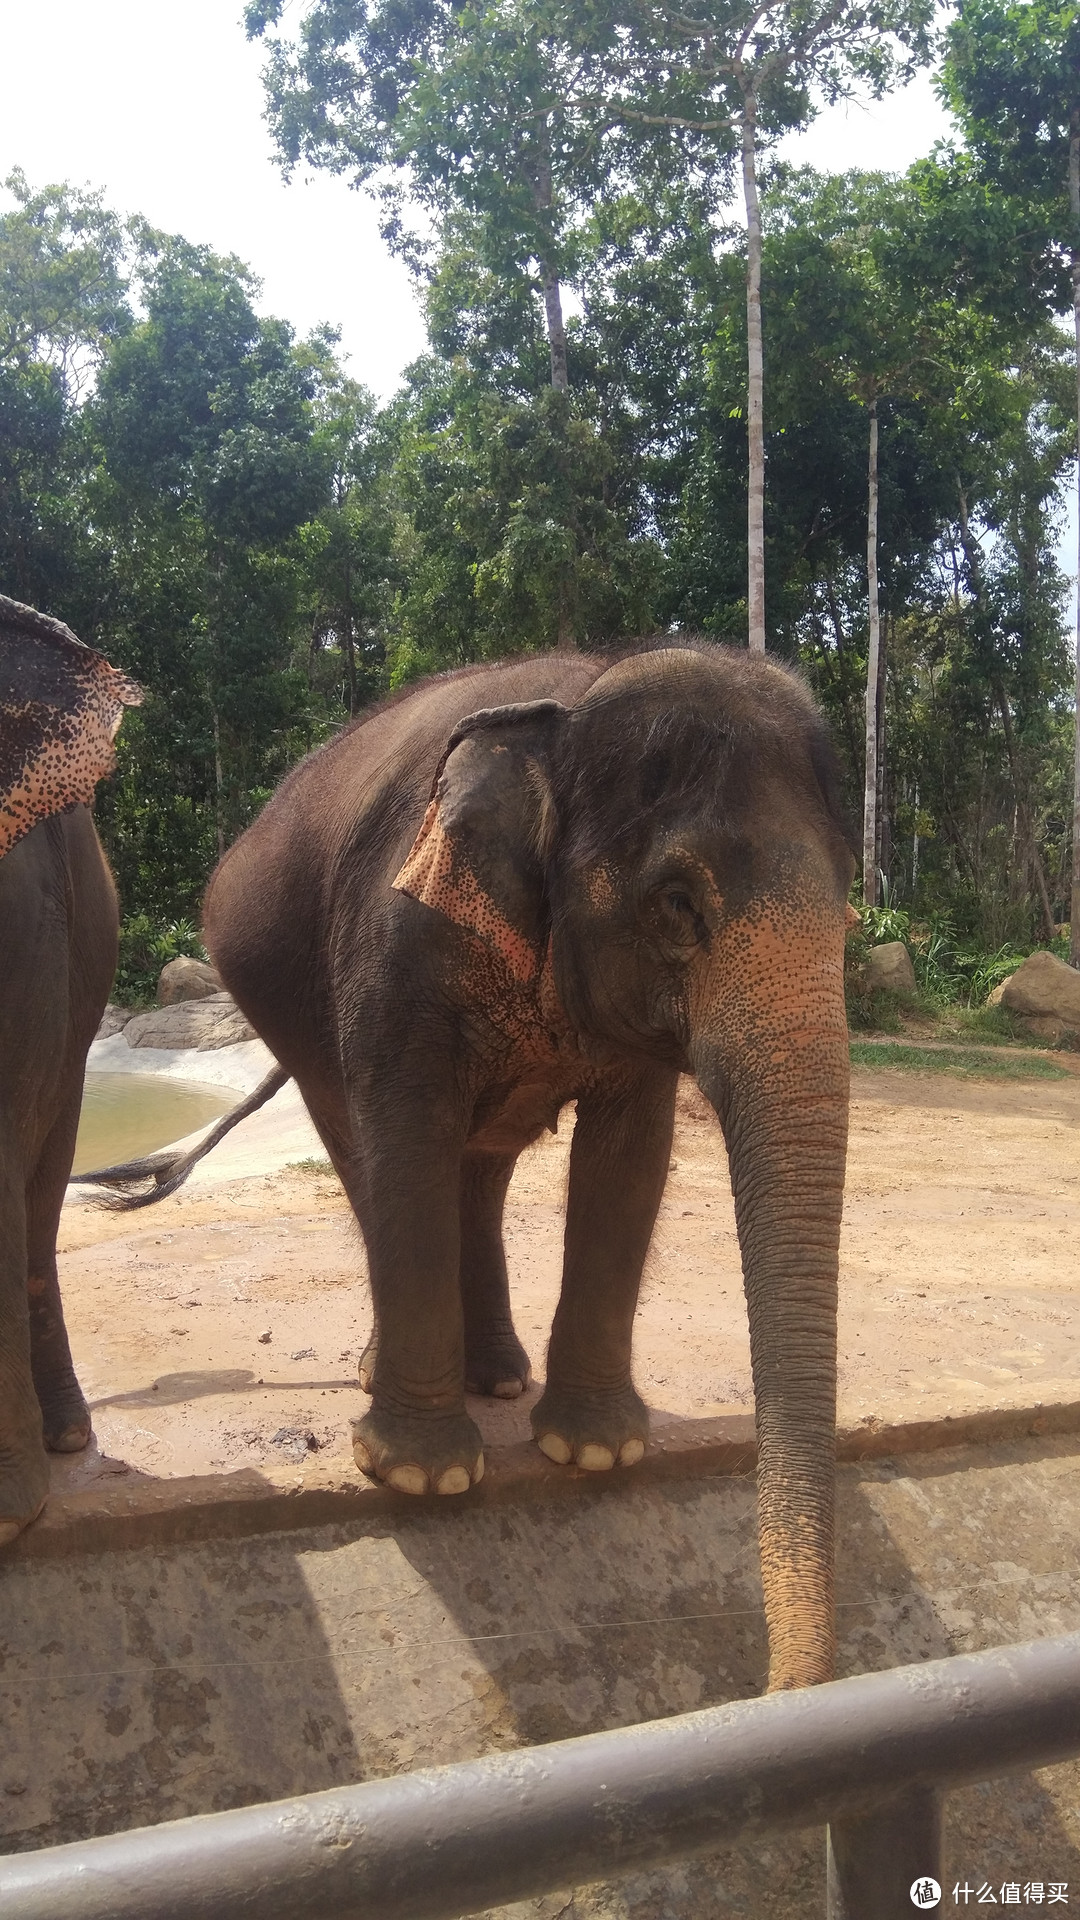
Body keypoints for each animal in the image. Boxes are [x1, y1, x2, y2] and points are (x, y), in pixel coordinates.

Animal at [197, 637, 853, 1689]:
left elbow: (629, 1157)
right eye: (678, 904)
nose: (782, 1685)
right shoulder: (399, 942)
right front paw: (424, 1475)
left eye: (850, 905)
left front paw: (595, 1455)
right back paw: (406, 1377)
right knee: (370, 1153)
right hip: (279, 997)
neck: (574, 709)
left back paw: (499, 1377)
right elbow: (408, 1131)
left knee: (480, 1165)